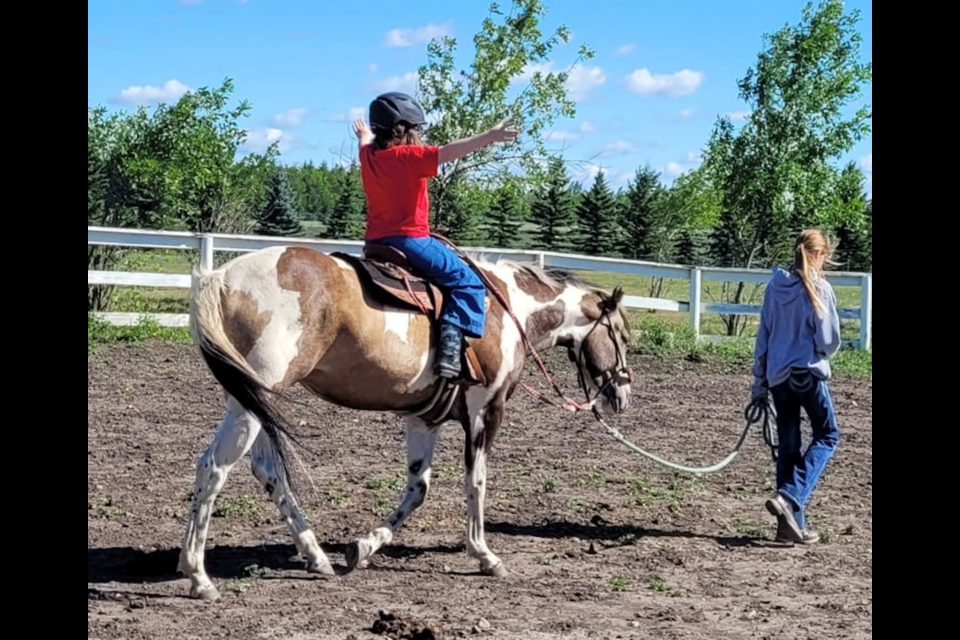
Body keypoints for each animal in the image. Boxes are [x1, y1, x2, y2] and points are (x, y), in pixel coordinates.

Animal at [178, 239, 636, 600]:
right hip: (250, 404)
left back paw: (315, 556)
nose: (622, 395)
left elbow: (418, 490)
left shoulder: (424, 419)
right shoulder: (486, 410)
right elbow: (476, 482)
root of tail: (220, 277)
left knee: (267, 471)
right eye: (622, 337)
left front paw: (363, 547)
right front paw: (485, 555)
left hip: (252, 400)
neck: (510, 311)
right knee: (213, 468)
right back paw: (198, 576)